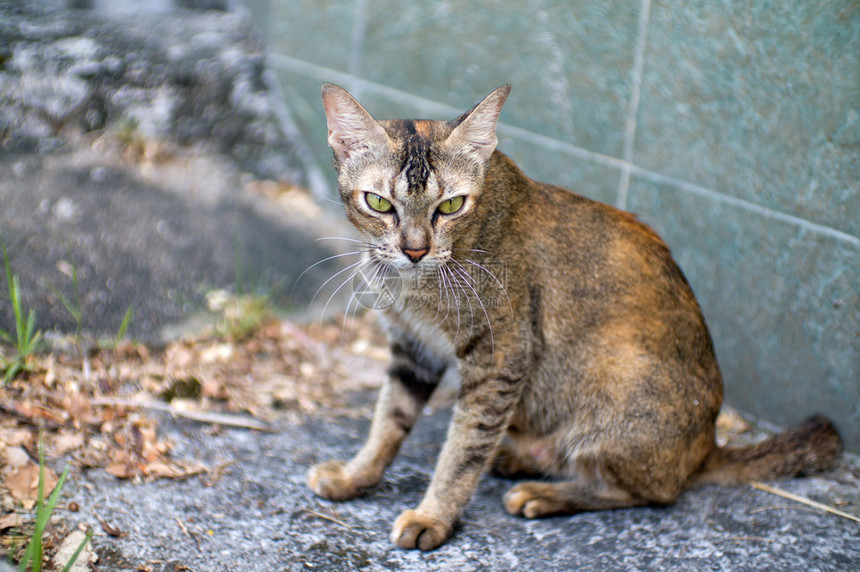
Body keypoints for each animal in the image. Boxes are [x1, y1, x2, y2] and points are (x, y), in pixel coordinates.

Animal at [306, 84, 844, 548]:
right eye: (379, 202)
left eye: (452, 204)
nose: (414, 250)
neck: (414, 287)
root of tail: (707, 444)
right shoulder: (413, 348)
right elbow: (388, 420)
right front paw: (357, 475)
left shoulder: (501, 356)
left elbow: (462, 448)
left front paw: (433, 516)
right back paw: (522, 458)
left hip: (620, 378)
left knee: (657, 491)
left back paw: (545, 493)